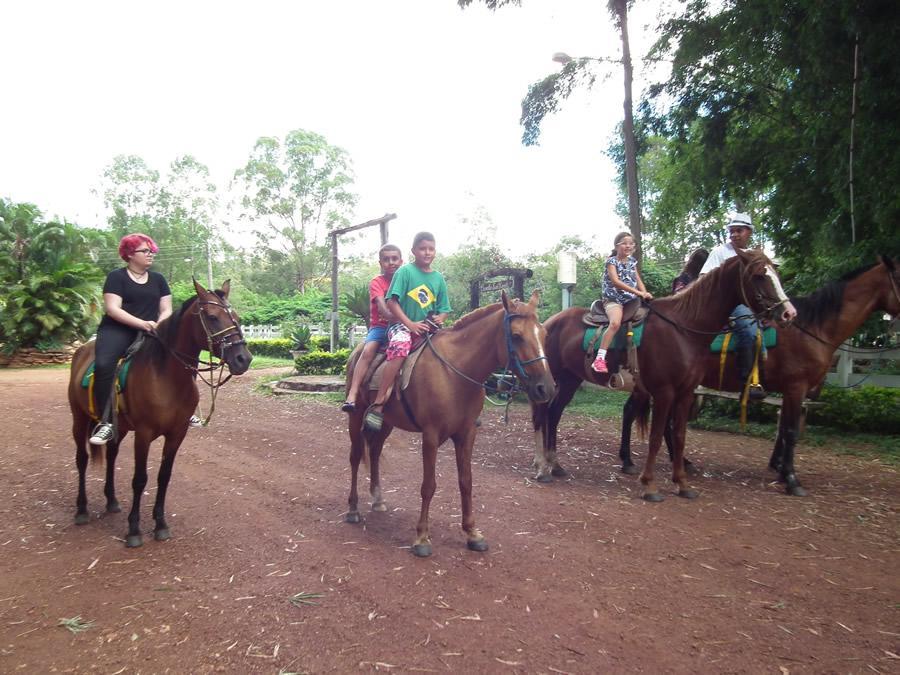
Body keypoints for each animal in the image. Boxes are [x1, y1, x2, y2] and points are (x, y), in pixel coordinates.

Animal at [67, 280, 253, 548]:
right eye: (212, 317)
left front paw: (161, 524)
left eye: (236, 317)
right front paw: (134, 530)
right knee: (81, 459)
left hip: (120, 427)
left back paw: (111, 501)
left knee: (111, 456)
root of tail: (82, 350)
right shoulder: (144, 434)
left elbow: (164, 476)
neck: (166, 376)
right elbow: (139, 479)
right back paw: (81, 510)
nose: (243, 359)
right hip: (79, 419)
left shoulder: (177, 433)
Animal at [344, 294, 556, 556]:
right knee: (355, 457)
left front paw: (472, 533)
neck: (454, 373)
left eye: (544, 335)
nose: (546, 388)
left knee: (374, 452)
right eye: (516, 336)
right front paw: (422, 538)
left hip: (386, 424)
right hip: (355, 417)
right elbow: (428, 485)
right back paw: (353, 509)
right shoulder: (430, 436)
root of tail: (358, 351)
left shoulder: (467, 434)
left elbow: (466, 482)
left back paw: (378, 499)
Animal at [528, 250, 796, 502]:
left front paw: (682, 483)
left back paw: (555, 464)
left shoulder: (685, 392)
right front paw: (649, 485)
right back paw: (544, 466)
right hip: (553, 379)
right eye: (759, 275)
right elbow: (656, 437)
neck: (682, 329)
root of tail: (548, 323)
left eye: (775, 273)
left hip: (570, 380)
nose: (788, 313)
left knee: (554, 414)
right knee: (544, 415)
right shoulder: (664, 392)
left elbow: (679, 436)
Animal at [620, 256, 900, 494]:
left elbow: (784, 428)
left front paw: (780, 468)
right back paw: (630, 460)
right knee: (634, 412)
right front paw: (791, 479)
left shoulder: (790, 390)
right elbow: (790, 431)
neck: (811, 328)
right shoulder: (796, 386)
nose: (788, 314)